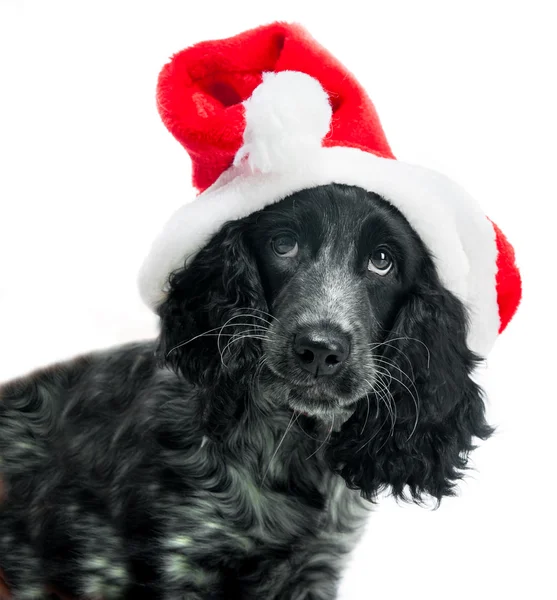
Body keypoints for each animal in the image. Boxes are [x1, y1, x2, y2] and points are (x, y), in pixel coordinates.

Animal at [0, 185, 490, 596]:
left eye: (382, 260)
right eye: (283, 244)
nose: (319, 349)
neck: (290, 446)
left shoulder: (314, 568)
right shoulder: (176, 563)